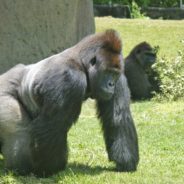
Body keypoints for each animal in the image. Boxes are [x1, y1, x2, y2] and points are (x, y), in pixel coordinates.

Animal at [0, 29, 138, 176]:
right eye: (107, 72)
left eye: (115, 74)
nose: (111, 84)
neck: (82, 63)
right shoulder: (70, 79)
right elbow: (53, 126)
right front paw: (49, 168)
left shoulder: (120, 77)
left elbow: (118, 118)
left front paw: (126, 162)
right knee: (20, 132)